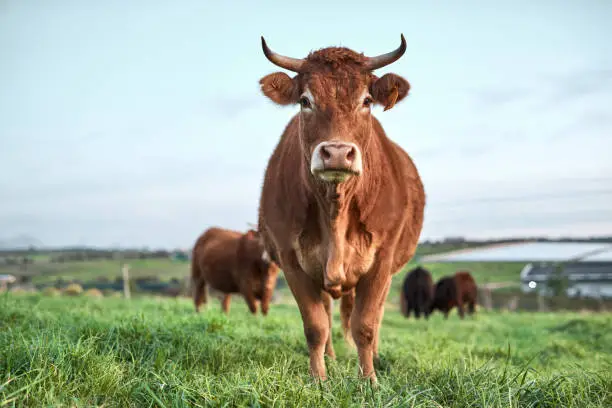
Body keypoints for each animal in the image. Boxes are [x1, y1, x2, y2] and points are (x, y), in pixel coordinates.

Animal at [256, 34, 424, 382]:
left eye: (367, 101)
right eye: (305, 101)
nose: (336, 153)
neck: (335, 208)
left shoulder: (382, 261)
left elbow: (365, 325)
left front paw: (368, 380)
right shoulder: (291, 261)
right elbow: (315, 325)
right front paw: (319, 379)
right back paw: (331, 357)